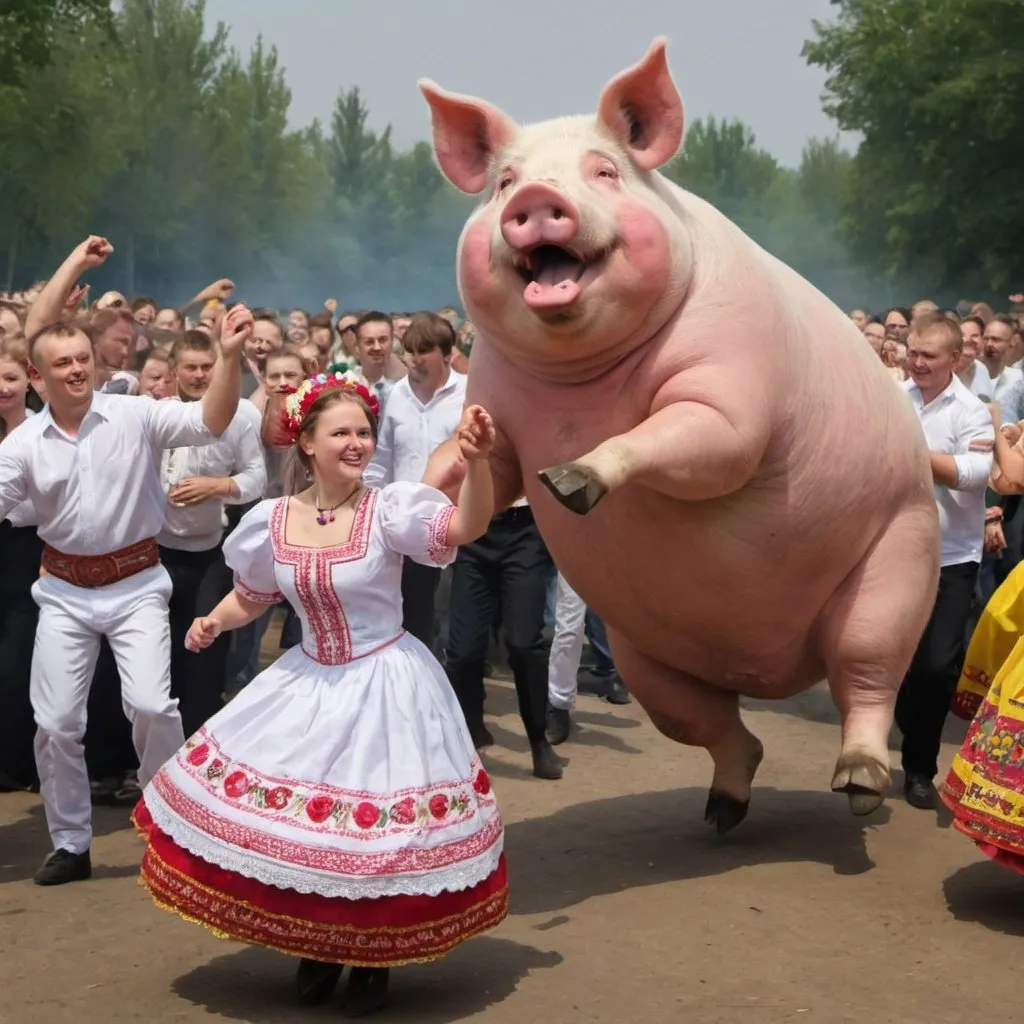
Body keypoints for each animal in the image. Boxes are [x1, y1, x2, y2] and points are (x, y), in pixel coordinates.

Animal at [415, 37, 937, 831]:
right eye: (505, 182)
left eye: (604, 171)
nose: (537, 199)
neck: (581, 386)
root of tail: (775, 665)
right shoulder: (498, 411)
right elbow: (493, 472)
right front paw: (441, 474)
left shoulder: (733, 390)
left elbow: (694, 438)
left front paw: (567, 482)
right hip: (646, 656)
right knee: (717, 729)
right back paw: (722, 814)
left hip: (901, 557)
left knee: (868, 676)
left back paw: (861, 787)